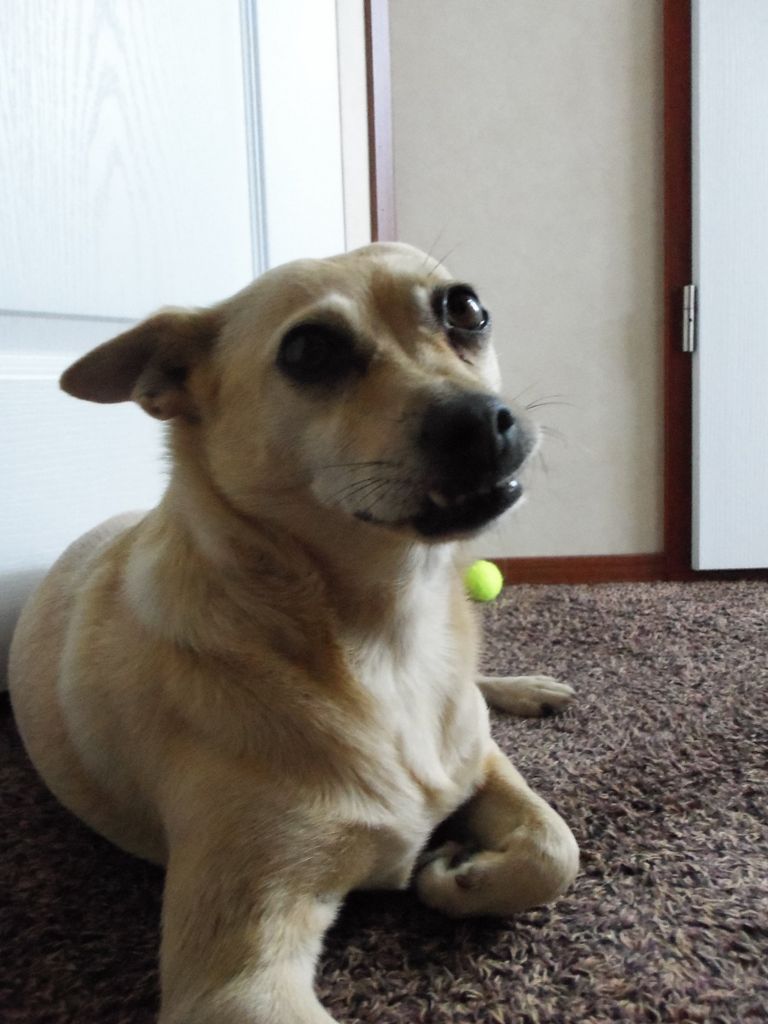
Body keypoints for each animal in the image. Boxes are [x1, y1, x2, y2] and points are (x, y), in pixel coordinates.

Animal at [9, 242, 578, 1024]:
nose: (482, 420)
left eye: (465, 308)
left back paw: (527, 686)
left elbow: (557, 849)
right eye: (309, 351)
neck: (388, 639)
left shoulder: (480, 758)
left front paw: (459, 876)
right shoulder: (235, 984)